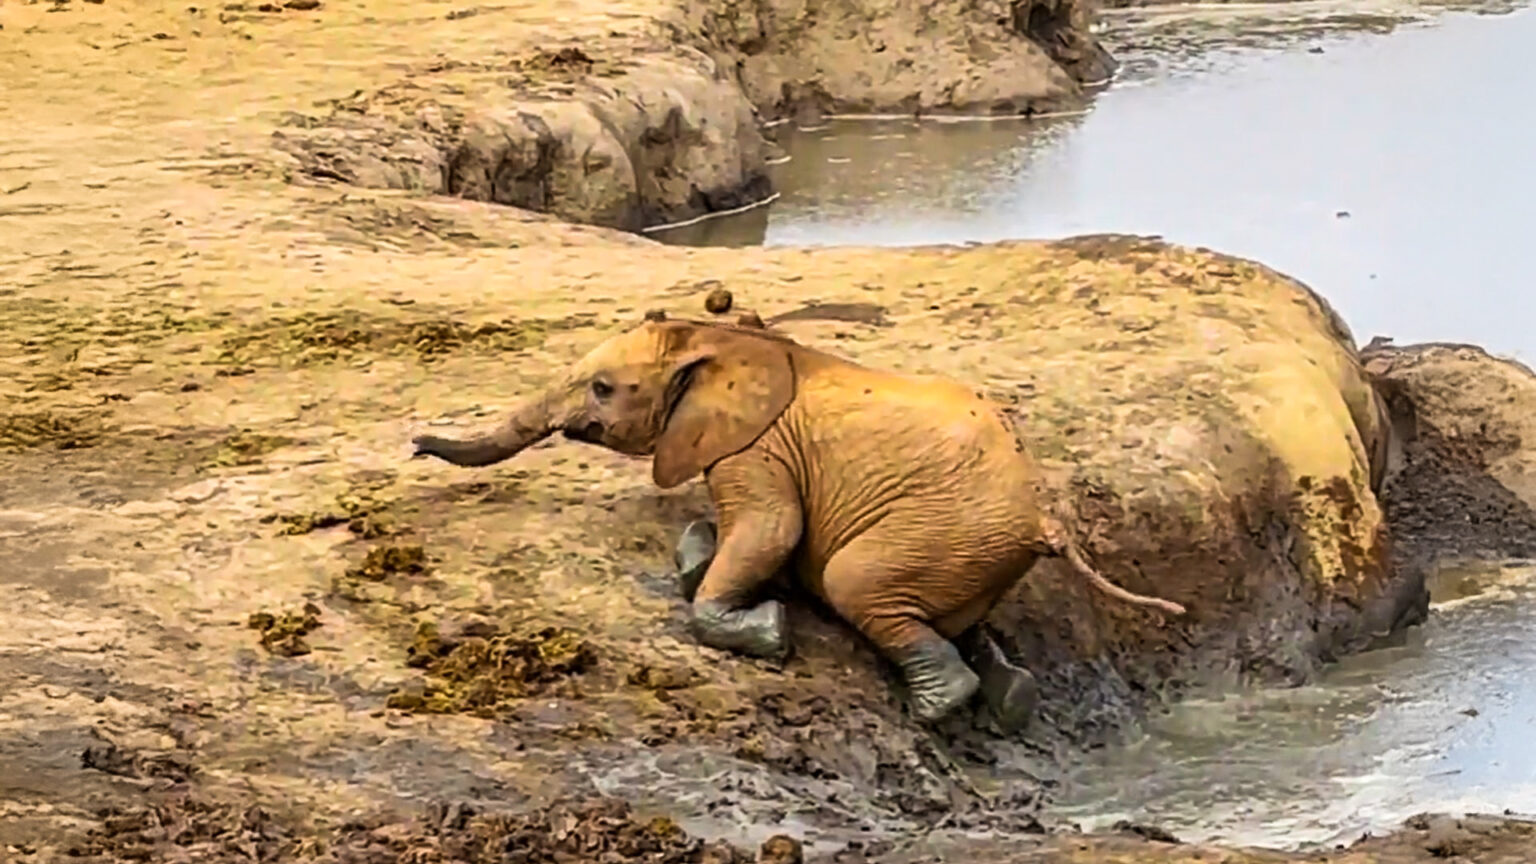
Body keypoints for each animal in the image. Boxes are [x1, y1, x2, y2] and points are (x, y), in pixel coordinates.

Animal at [411, 311, 1187, 728]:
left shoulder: (755, 447)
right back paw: (1009, 697)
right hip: (975, 552)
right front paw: (701, 556)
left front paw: (767, 631)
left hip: (941, 531)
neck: (724, 341)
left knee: (854, 582)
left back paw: (934, 707)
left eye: (603, 388)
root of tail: (1045, 519)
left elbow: (769, 530)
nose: (416, 443)